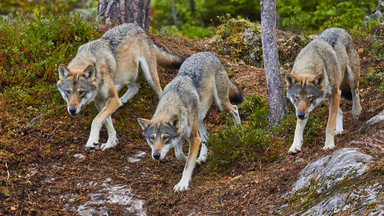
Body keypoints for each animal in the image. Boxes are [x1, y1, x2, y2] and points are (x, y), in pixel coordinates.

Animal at [56, 22, 184, 150]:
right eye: (67, 92)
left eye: (81, 92)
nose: (72, 110)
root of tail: (137, 27)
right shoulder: (101, 101)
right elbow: (107, 123)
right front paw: (111, 143)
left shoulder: (112, 100)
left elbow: (96, 120)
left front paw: (92, 141)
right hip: (126, 76)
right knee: (135, 86)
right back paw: (123, 100)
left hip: (149, 77)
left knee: (159, 93)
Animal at [136, 52, 242, 191]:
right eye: (152, 139)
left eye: (165, 138)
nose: (156, 155)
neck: (173, 100)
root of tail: (209, 53)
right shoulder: (180, 138)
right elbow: (179, 155)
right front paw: (193, 161)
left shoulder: (194, 138)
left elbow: (187, 165)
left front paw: (183, 183)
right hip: (200, 116)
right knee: (206, 137)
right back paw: (202, 157)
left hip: (221, 105)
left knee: (235, 109)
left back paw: (239, 131)